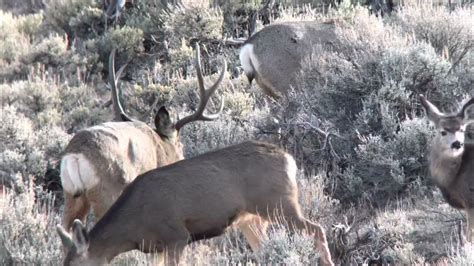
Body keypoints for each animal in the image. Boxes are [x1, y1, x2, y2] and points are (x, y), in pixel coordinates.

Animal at [56, 140, 334, 264]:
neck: (134, 226)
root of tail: (289, 158)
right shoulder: (157, 247)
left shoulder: (176, 235)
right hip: (251, 218)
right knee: (264, 249)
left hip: (279, 203)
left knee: (317, 229)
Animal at [60, 44, 227, 231]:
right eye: (180, 145)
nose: (182, 161)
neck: (160, 146)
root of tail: (75, 156)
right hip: (106, 192)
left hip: (71, 195)